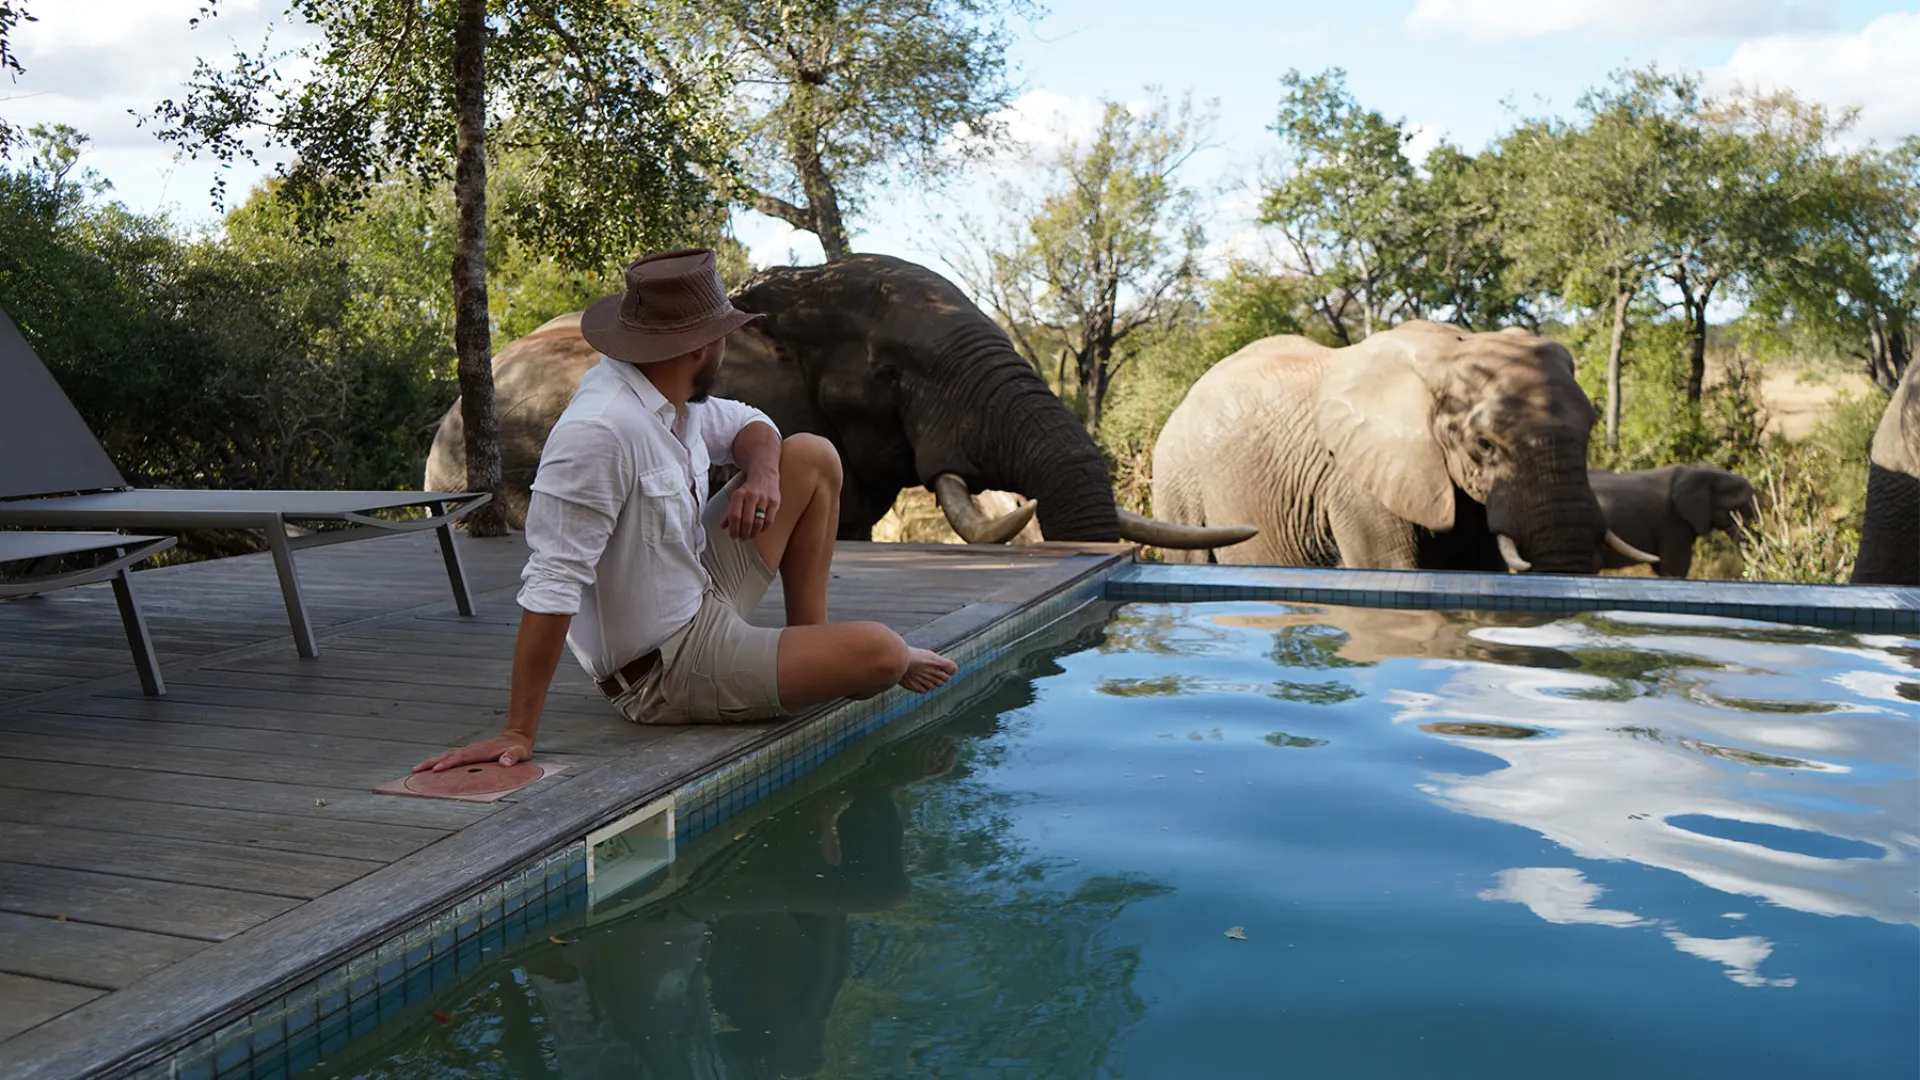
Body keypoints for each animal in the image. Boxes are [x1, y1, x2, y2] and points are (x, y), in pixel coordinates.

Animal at [1150, 321, 1658, 574]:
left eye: (1591, 430)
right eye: (1484, 445)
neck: (1451, 351)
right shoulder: (1359, 485)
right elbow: (1390, 564)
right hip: (1177, 481)